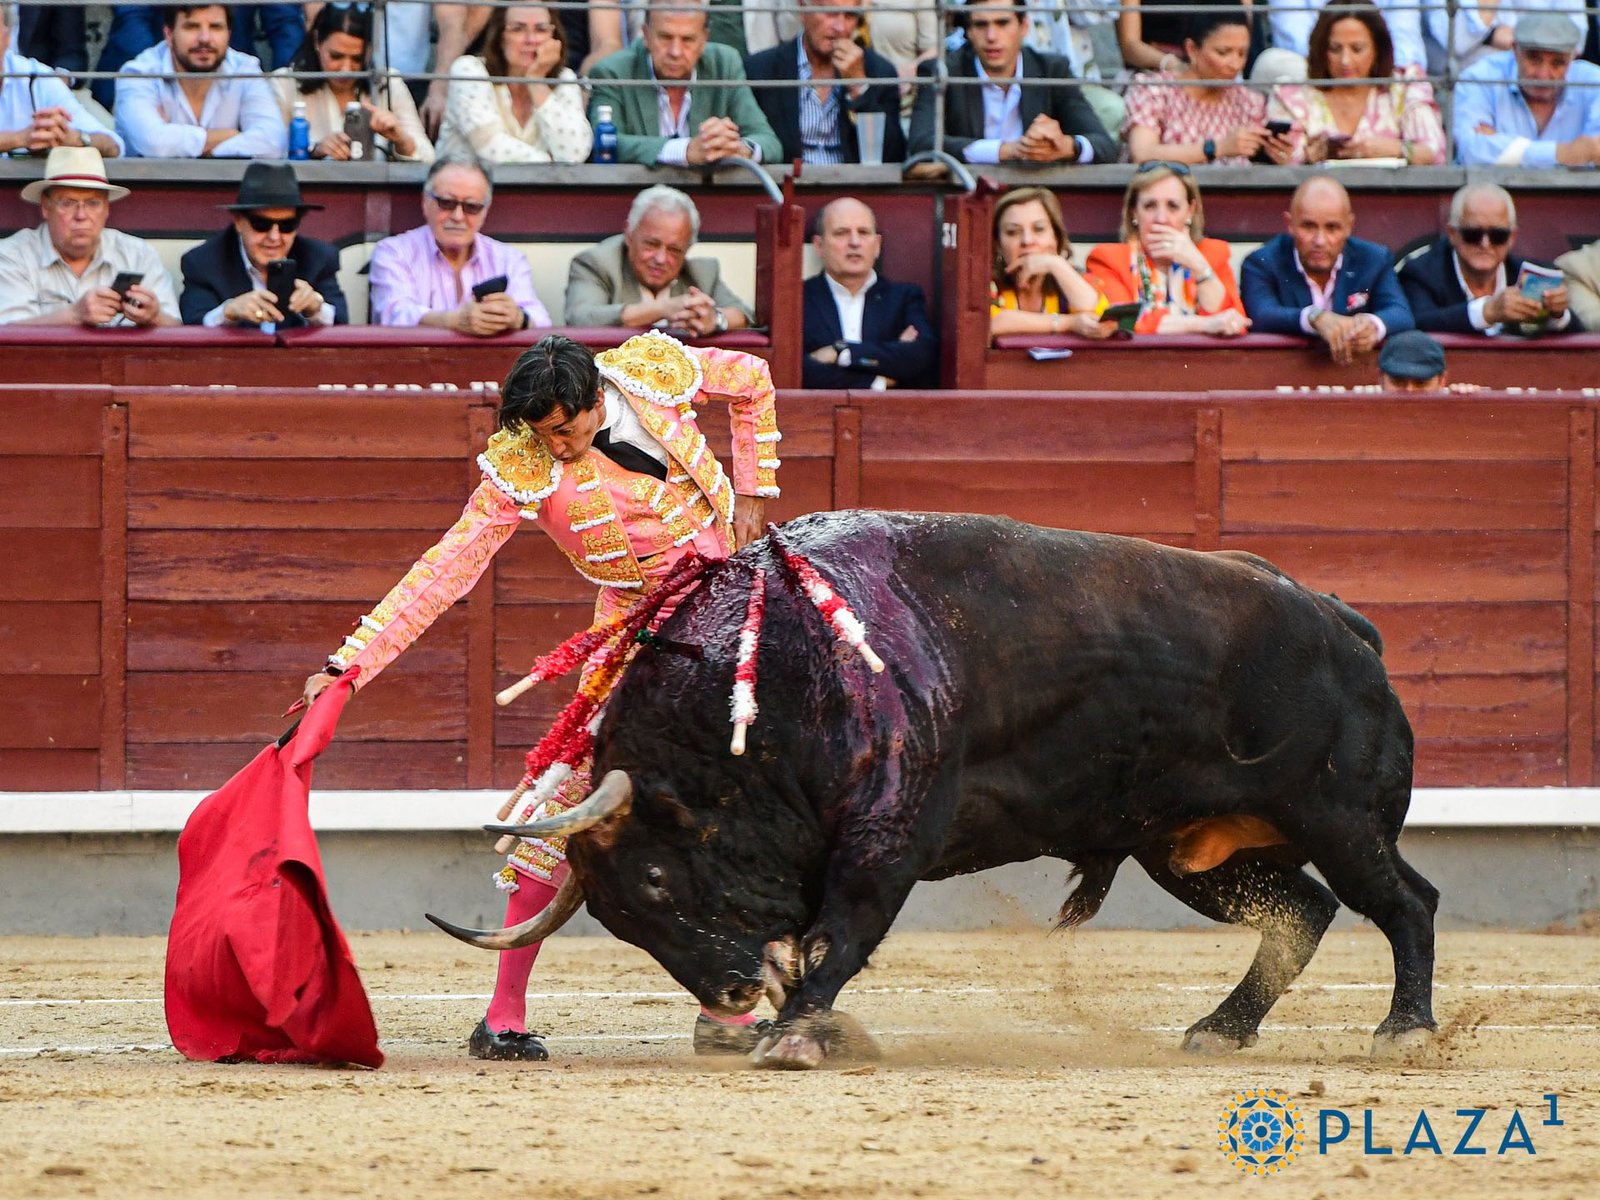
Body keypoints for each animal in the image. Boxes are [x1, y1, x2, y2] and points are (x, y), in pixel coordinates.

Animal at [429, 510, 1438, 1070]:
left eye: (652, 880)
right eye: (620, 923)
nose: (727, 992)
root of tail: (1344, 624)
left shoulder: (889, 834)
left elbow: (838, 933)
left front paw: (797, 1037)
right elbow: (812, 940)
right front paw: (808, 1029)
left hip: (1340, 818)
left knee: (1405, 901)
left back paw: (1406, 1032)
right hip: (1189, 849)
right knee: (1302, 913)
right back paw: (1220, 1030)